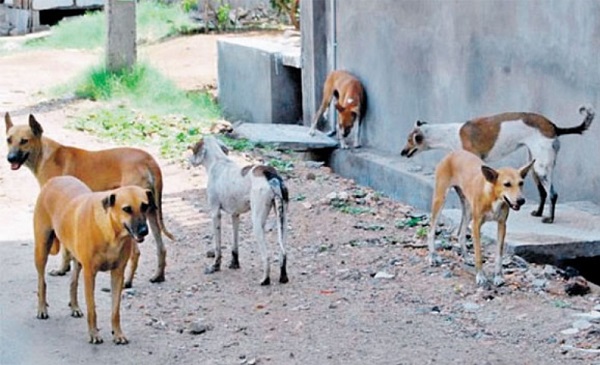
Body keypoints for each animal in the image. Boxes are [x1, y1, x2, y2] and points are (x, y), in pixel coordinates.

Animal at [5, 112, 173, 286]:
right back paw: (158, 276)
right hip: (151, 213)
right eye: (8, 140)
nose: (10, 158)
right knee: (161, 248)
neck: (44, 154)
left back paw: (127, 281)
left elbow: (64, 249)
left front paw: (61, 269)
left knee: (136, 253)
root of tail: (149, 160)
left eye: (24, 141)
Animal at [34, 175, 154, 342]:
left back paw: (75, 307)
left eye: (145, 206)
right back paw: (42, 308)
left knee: (73, 282)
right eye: (127, 209)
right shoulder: (90, 274)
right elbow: (92, 309)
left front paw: (118, 334)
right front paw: (94, 334)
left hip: (77, 259)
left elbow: (115, 310)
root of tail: (55, 179)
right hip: (42, 248)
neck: (111, 233)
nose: (144, 231)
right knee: (42, 282)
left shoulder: (118, 274)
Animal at [189, 135, 290, 286]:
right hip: (282, 221)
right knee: (283, 252)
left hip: (257, 224)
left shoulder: (215, 213)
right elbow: (235, 244)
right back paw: (283, 276)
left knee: (267, 257)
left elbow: (218, 247)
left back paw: (265, 280)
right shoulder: (235, 215)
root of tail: (270, 174)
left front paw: (215, 266)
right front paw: (234, 264)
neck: (218, 161)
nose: (188, 159)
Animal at [400, 105, 592, 223]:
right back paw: (538, 213)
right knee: (543, 193)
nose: (401, 152)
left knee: (552, 194)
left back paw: (550, 219)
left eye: (409, 140)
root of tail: (554, 126)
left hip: (542, 168)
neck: (450, 133)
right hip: (534, 168)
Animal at [426, 149, 536, 286]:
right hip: (440, 200)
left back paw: (466, 258)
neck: (492, 197)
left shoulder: (502, 225)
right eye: (507, 184)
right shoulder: (476, 225)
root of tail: (453, 153)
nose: (521, 200)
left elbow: (499, 255)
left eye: (521, 183)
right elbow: (478, 253)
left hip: (468, 209)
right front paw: (480, 276)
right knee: (431, 230)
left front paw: (498, 276)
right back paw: (433, 256)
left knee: (461, 234)